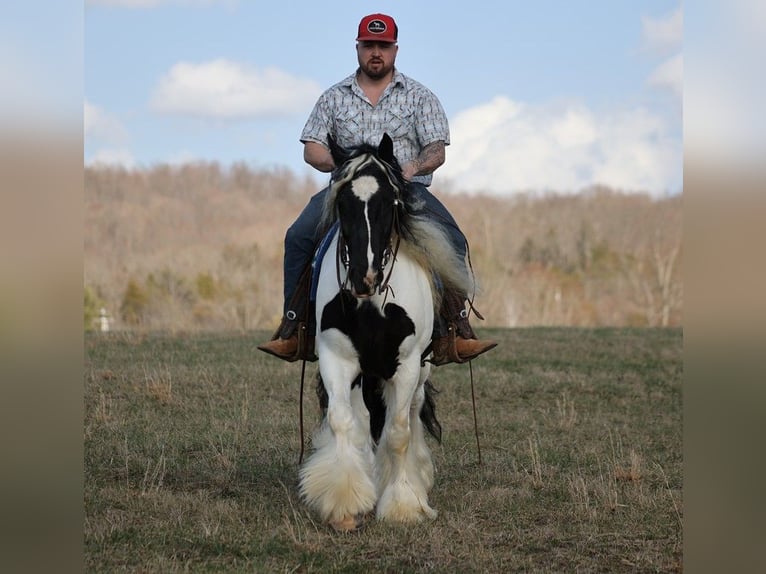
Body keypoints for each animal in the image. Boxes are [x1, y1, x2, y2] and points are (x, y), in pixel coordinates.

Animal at [298, 134, 468, 532]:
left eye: (388, 202)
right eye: (343, 202)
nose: (366, 276)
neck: (372, 303)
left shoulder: (405, 364)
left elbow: (398, 432)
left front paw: (405, 505)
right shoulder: (337, 358)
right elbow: (344, 422)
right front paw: (347, 505)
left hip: (420, 369)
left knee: (412, 412)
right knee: (363, 419)